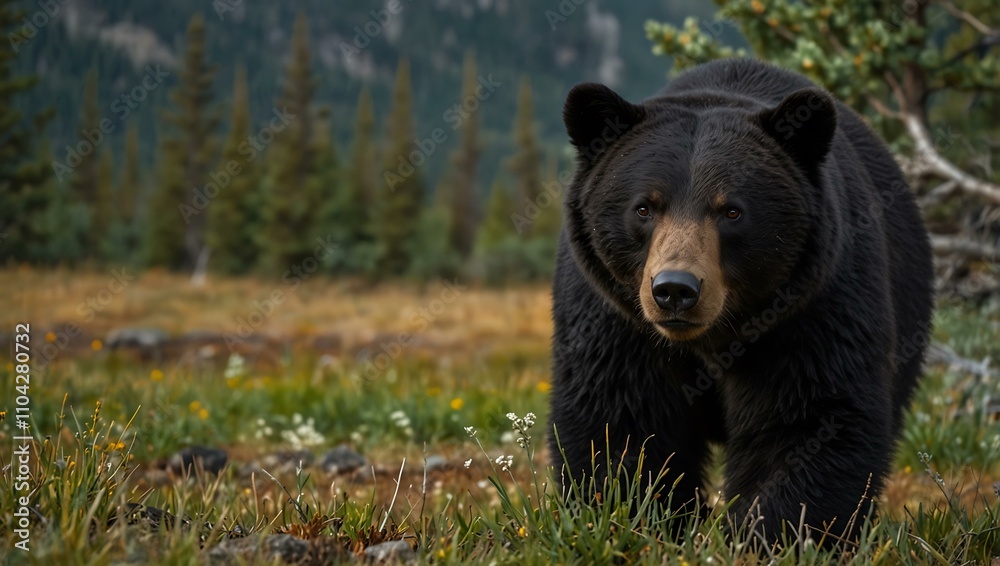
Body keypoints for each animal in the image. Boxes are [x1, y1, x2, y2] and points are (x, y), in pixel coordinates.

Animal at [552, 58, 932, 544]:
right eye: (644, 207)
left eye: (730, 210)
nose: (675, 290)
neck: (710, 339)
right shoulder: (613, 317)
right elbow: (620, 419)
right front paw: (642, 519)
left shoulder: (809, 311)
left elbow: (808, 420)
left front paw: (770, 534)